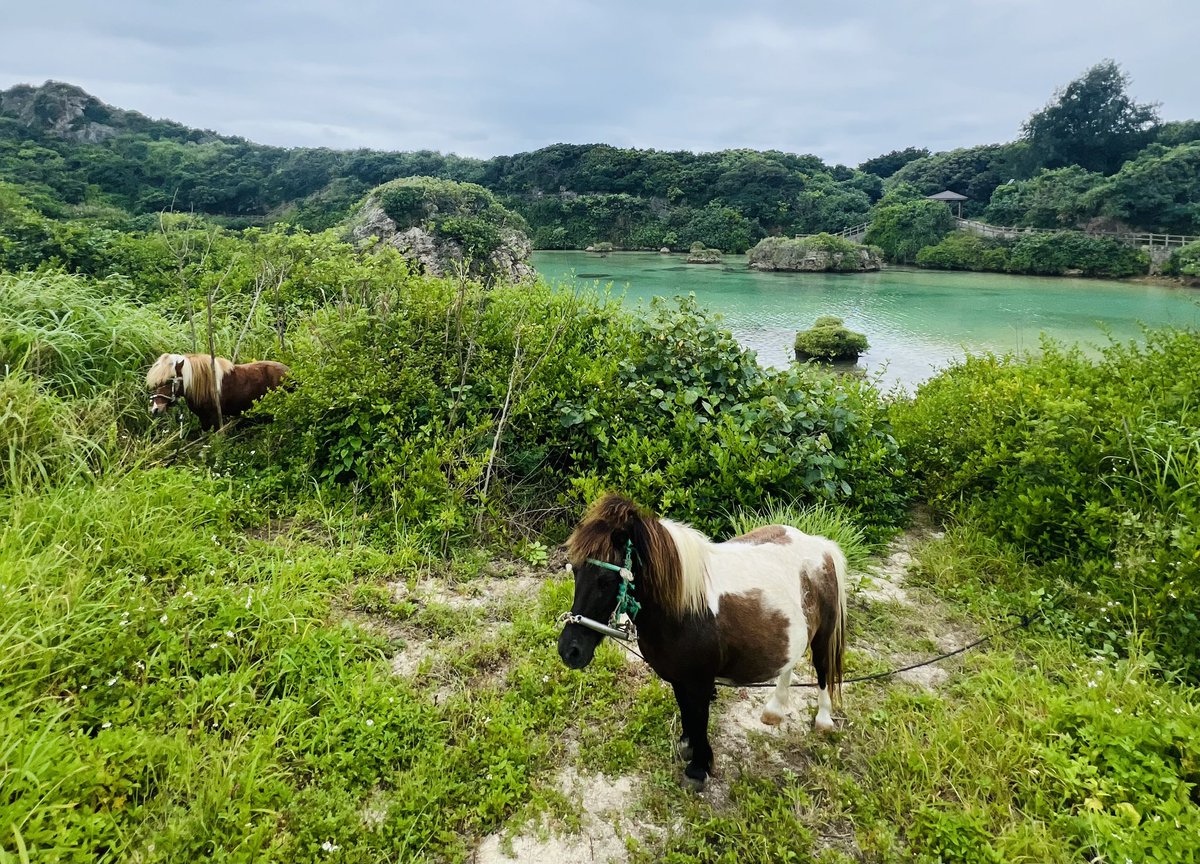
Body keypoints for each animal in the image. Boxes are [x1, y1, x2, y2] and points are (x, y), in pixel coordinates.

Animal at [559, 492, 849, 792]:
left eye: (605, 580)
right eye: (575, 571)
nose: (570, 651)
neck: (685, 609)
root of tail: (820, 545)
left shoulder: (699, 681)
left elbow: (699, 717)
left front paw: (699, 767)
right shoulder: (678, 677)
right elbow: (687, 711)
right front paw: (688, 746)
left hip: (822, 637)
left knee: (822, 670)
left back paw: (823, 720)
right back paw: (775, 709)